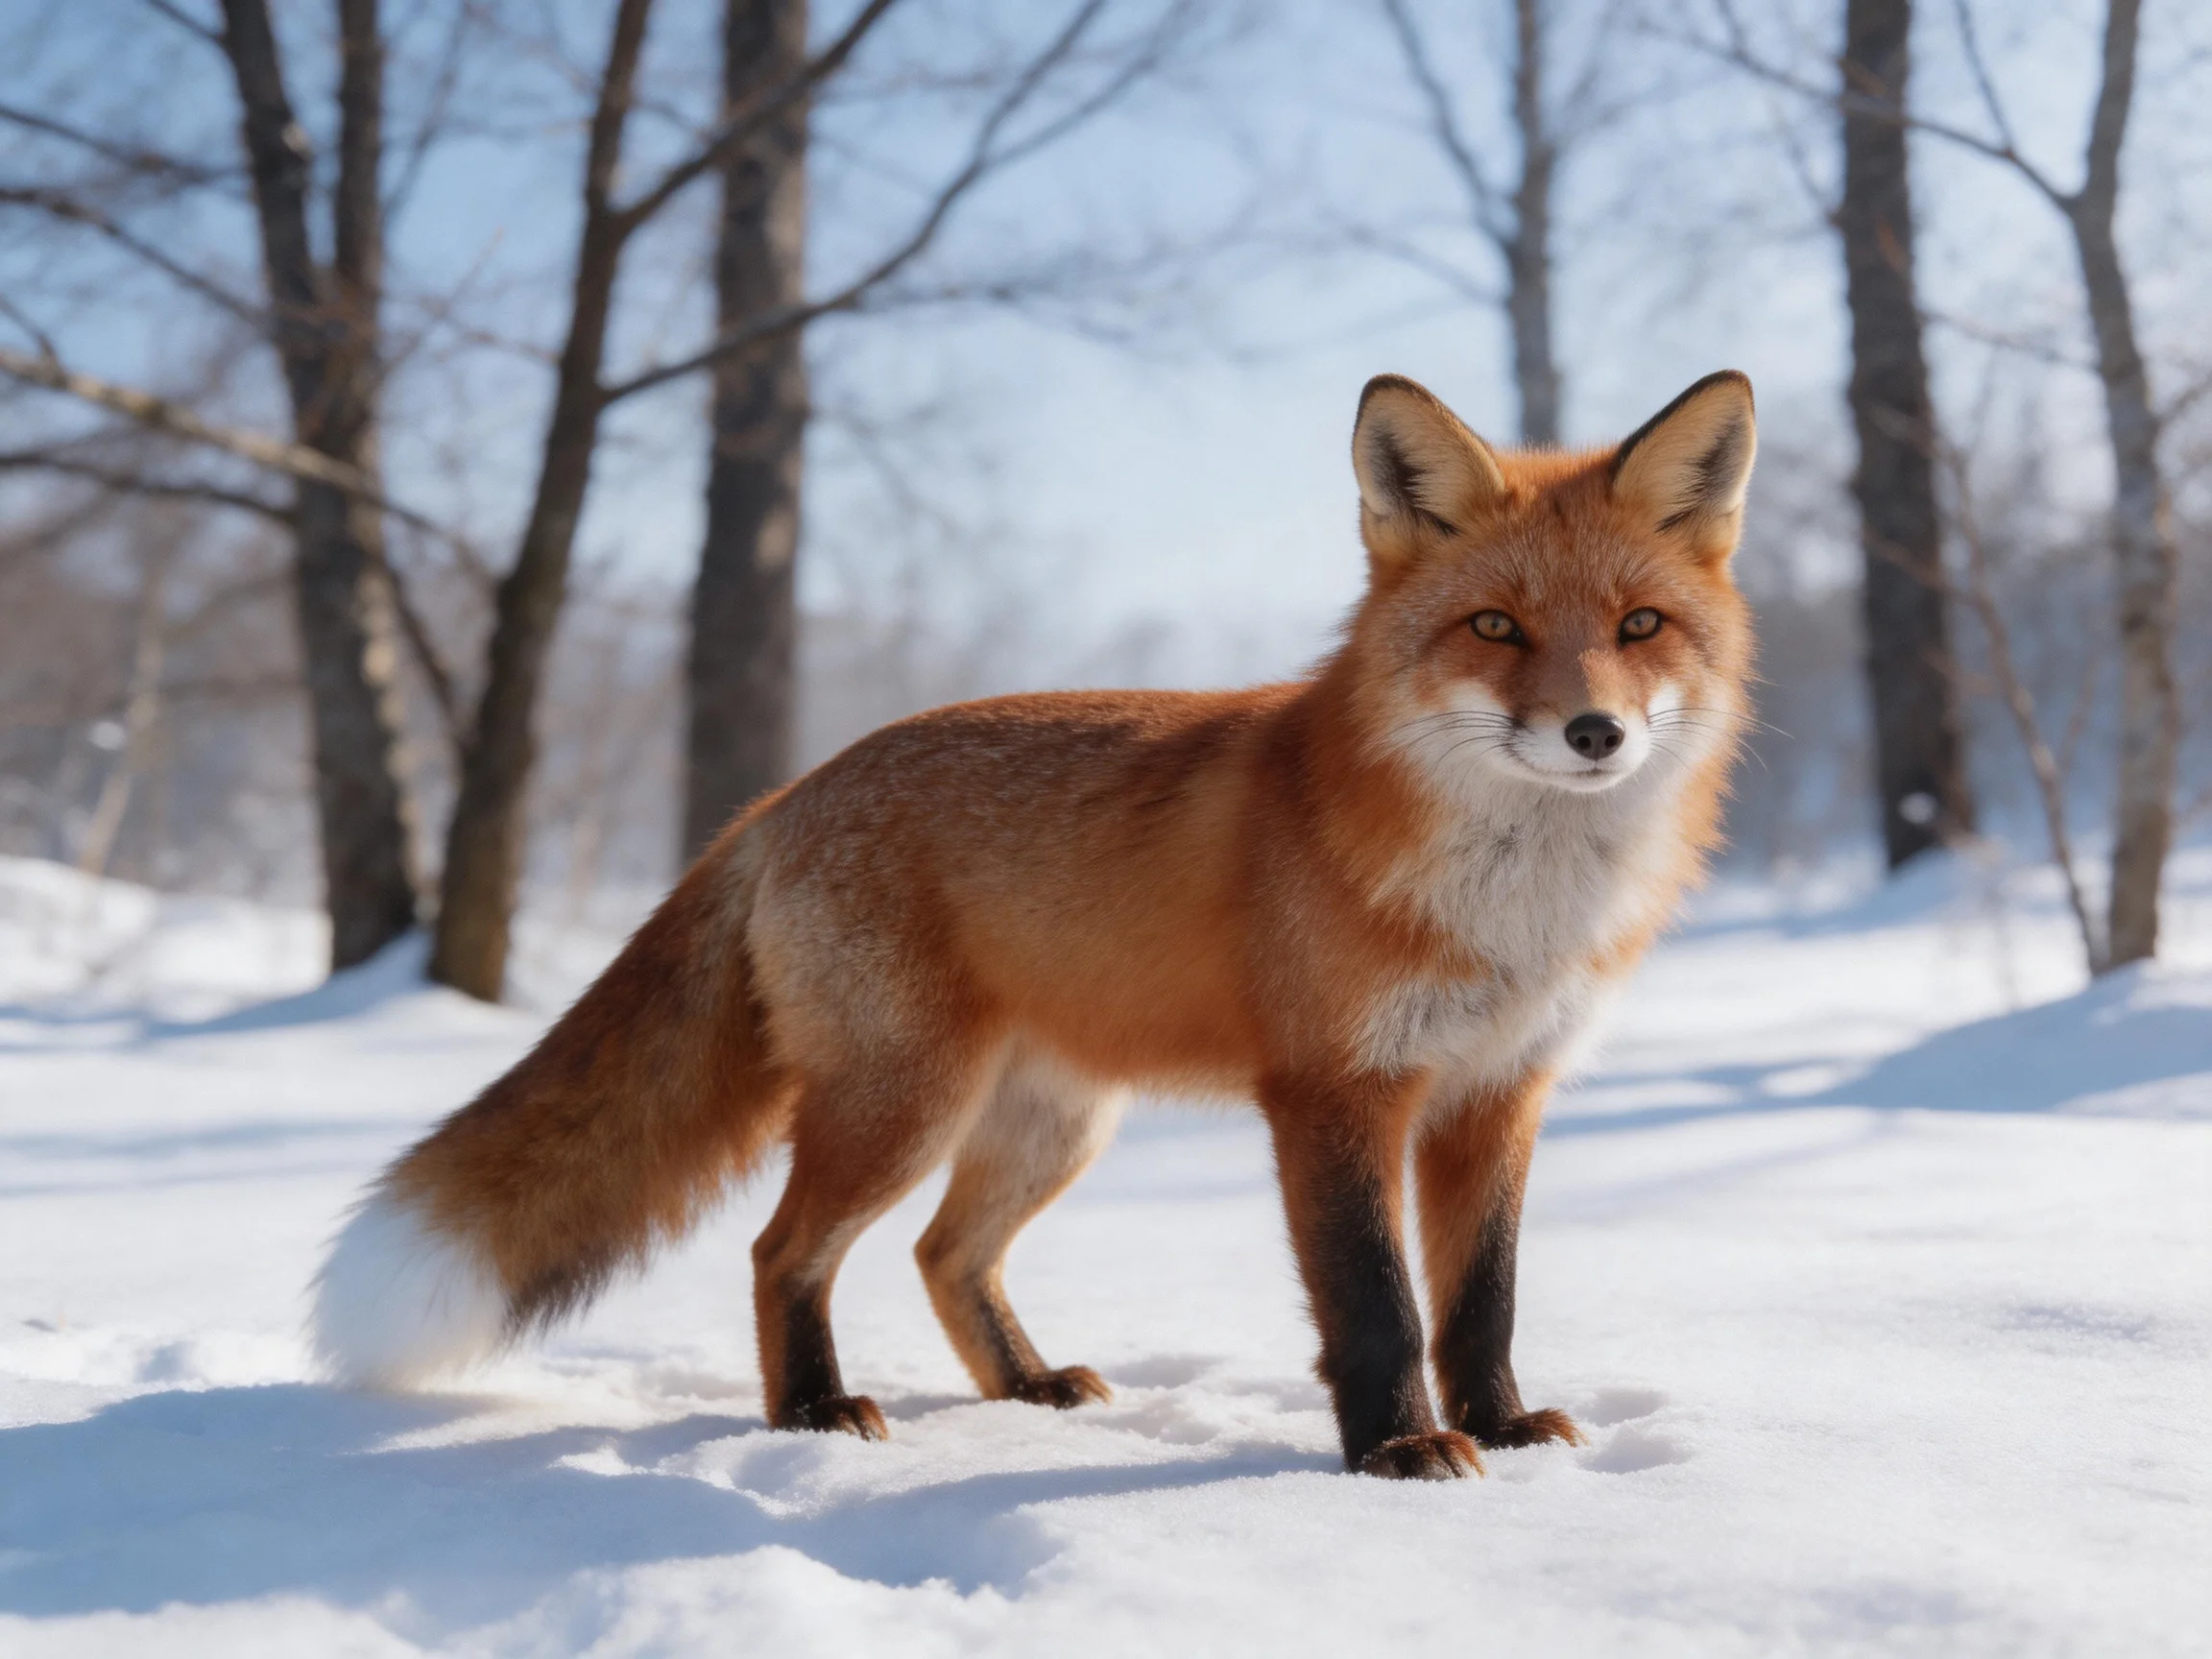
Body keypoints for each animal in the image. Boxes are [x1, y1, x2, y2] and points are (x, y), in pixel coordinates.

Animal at [312, 369, 1756, 1480]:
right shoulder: (1334, 1092)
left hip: (1049, 1126)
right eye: (1495, 626)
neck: (1513, 904)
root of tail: (782, 797)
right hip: (905, 1106)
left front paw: (1501, 1434)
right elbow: (1377, 1306)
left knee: (944, 1254)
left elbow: (1479, 1305)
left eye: (1639, 625)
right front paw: (1397, 1453)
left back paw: (1022, 1387)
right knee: (787, 1248)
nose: (1594, 732)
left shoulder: (1497, 1093)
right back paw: (812, 1414)